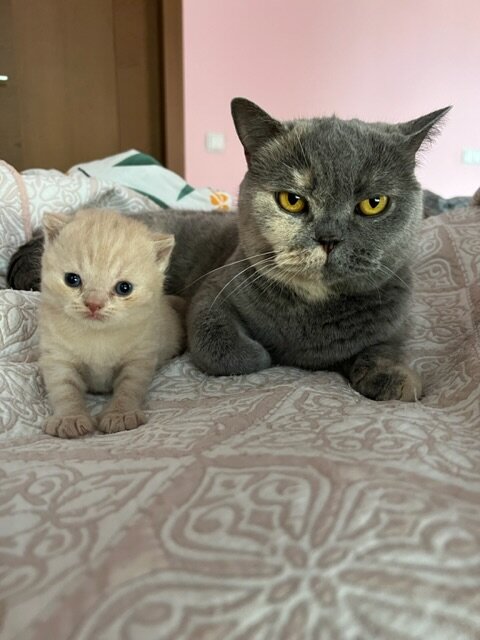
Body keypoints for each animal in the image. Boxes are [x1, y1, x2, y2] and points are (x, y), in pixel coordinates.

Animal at [8, 98, 450, 402]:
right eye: (292, 200)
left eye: (374, 203)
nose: (329, 237)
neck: (309, 315)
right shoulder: (214, 292)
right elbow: (220, 347)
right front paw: (265, 355)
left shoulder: (395, 324)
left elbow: (383, 348)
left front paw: (395, 378)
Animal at [38, 208, 183, 438]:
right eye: (72, 279)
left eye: (124, 288)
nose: (94, 304)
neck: (98, 336)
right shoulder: (57, 358)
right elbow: (65, 390)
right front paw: (69, 418)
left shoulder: (139, 358)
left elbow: (128, 388)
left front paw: (120, 415)